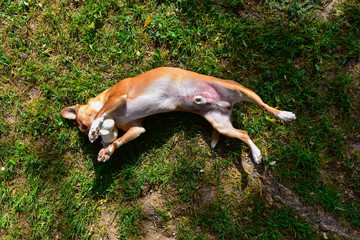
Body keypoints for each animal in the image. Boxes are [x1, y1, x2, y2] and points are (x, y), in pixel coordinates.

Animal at [61, 66, 296, 162]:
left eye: (82, 126)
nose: (99, 140)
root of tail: (226, 103)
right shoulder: (137, 128)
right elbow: (120, 140)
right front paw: (108, 150)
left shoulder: (119, 97)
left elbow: (101, 113)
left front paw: (96, 130)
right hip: (221, 125)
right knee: (244, 134)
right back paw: (256, 154)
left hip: (243, 91)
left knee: (265, 107)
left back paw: (285, 115)